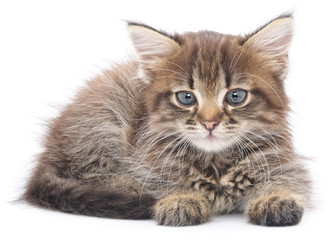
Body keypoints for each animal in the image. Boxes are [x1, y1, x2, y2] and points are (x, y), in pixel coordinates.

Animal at [24, 13, 312, 227]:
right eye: (186, 98)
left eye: (236, 96)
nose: (209, 123)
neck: (215, 163)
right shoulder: (148, 156)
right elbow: (160, 182)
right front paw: (180, 197)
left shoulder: (282, 161)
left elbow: (285, 180)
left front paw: (276, 198)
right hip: (101, 122)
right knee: (82, 172)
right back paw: (127, 187)